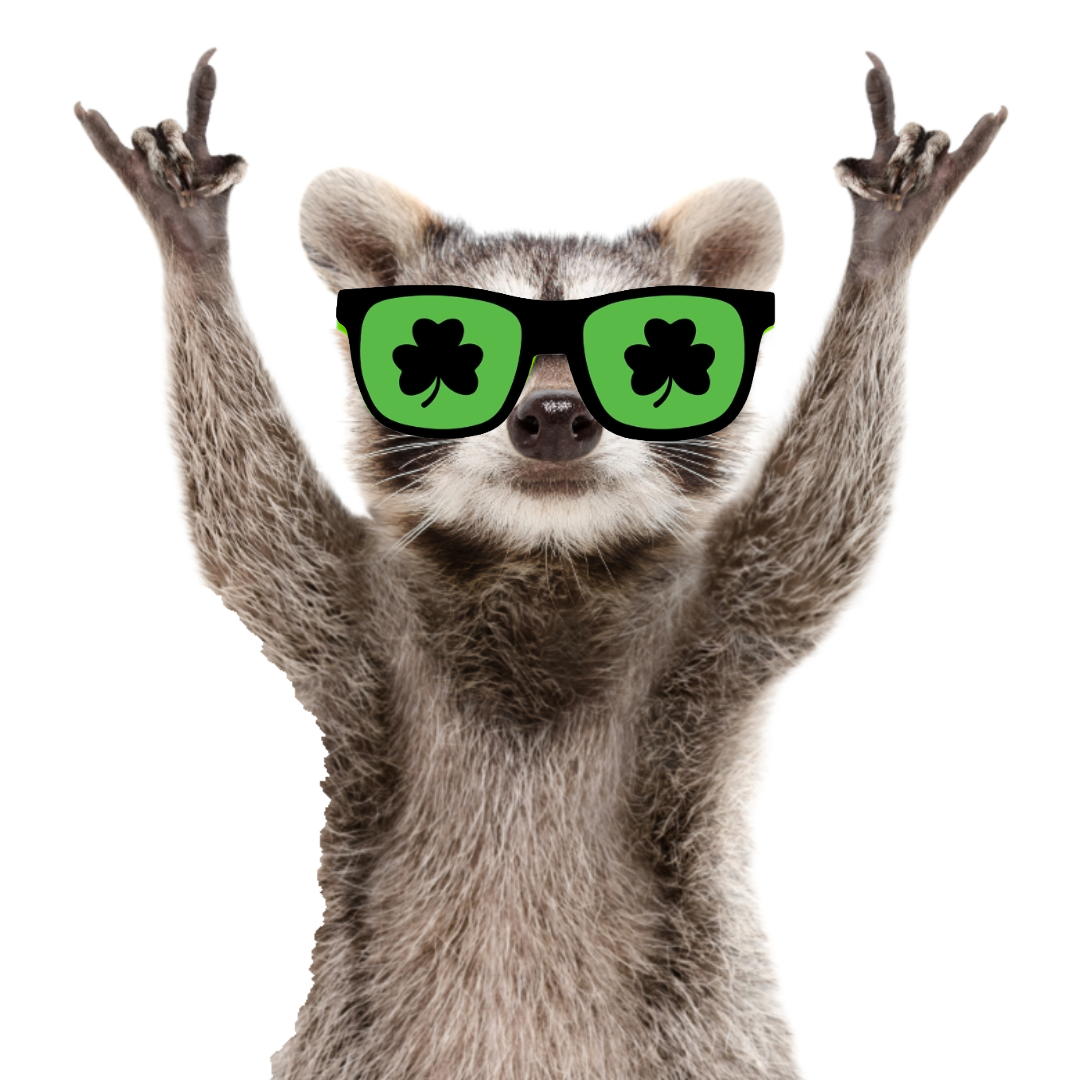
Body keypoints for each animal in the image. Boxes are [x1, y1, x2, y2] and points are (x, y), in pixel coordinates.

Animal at [76, 49, 1005, 1080]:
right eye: (449, 355)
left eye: (659, 352)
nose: (556, 418)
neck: (541, 554)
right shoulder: (357, 619)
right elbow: (248, 523)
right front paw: (195, 253)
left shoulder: (714, 620)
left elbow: (819, 526)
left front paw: (880, 255)